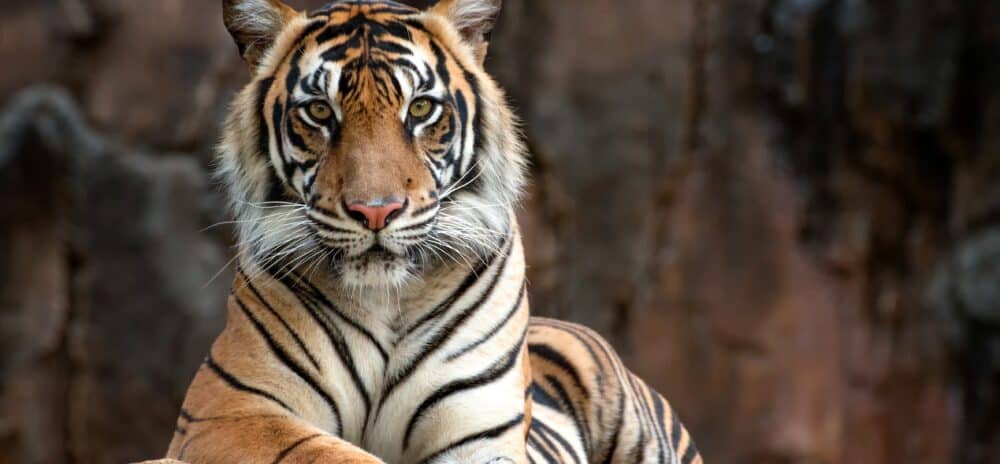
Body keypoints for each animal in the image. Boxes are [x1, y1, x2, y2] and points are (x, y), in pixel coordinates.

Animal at [164, 0, 703, 463]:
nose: (375, 212)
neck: (385, 298)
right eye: (319, 111)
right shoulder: (232, 412)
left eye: (420, 109)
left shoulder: (480, 432)